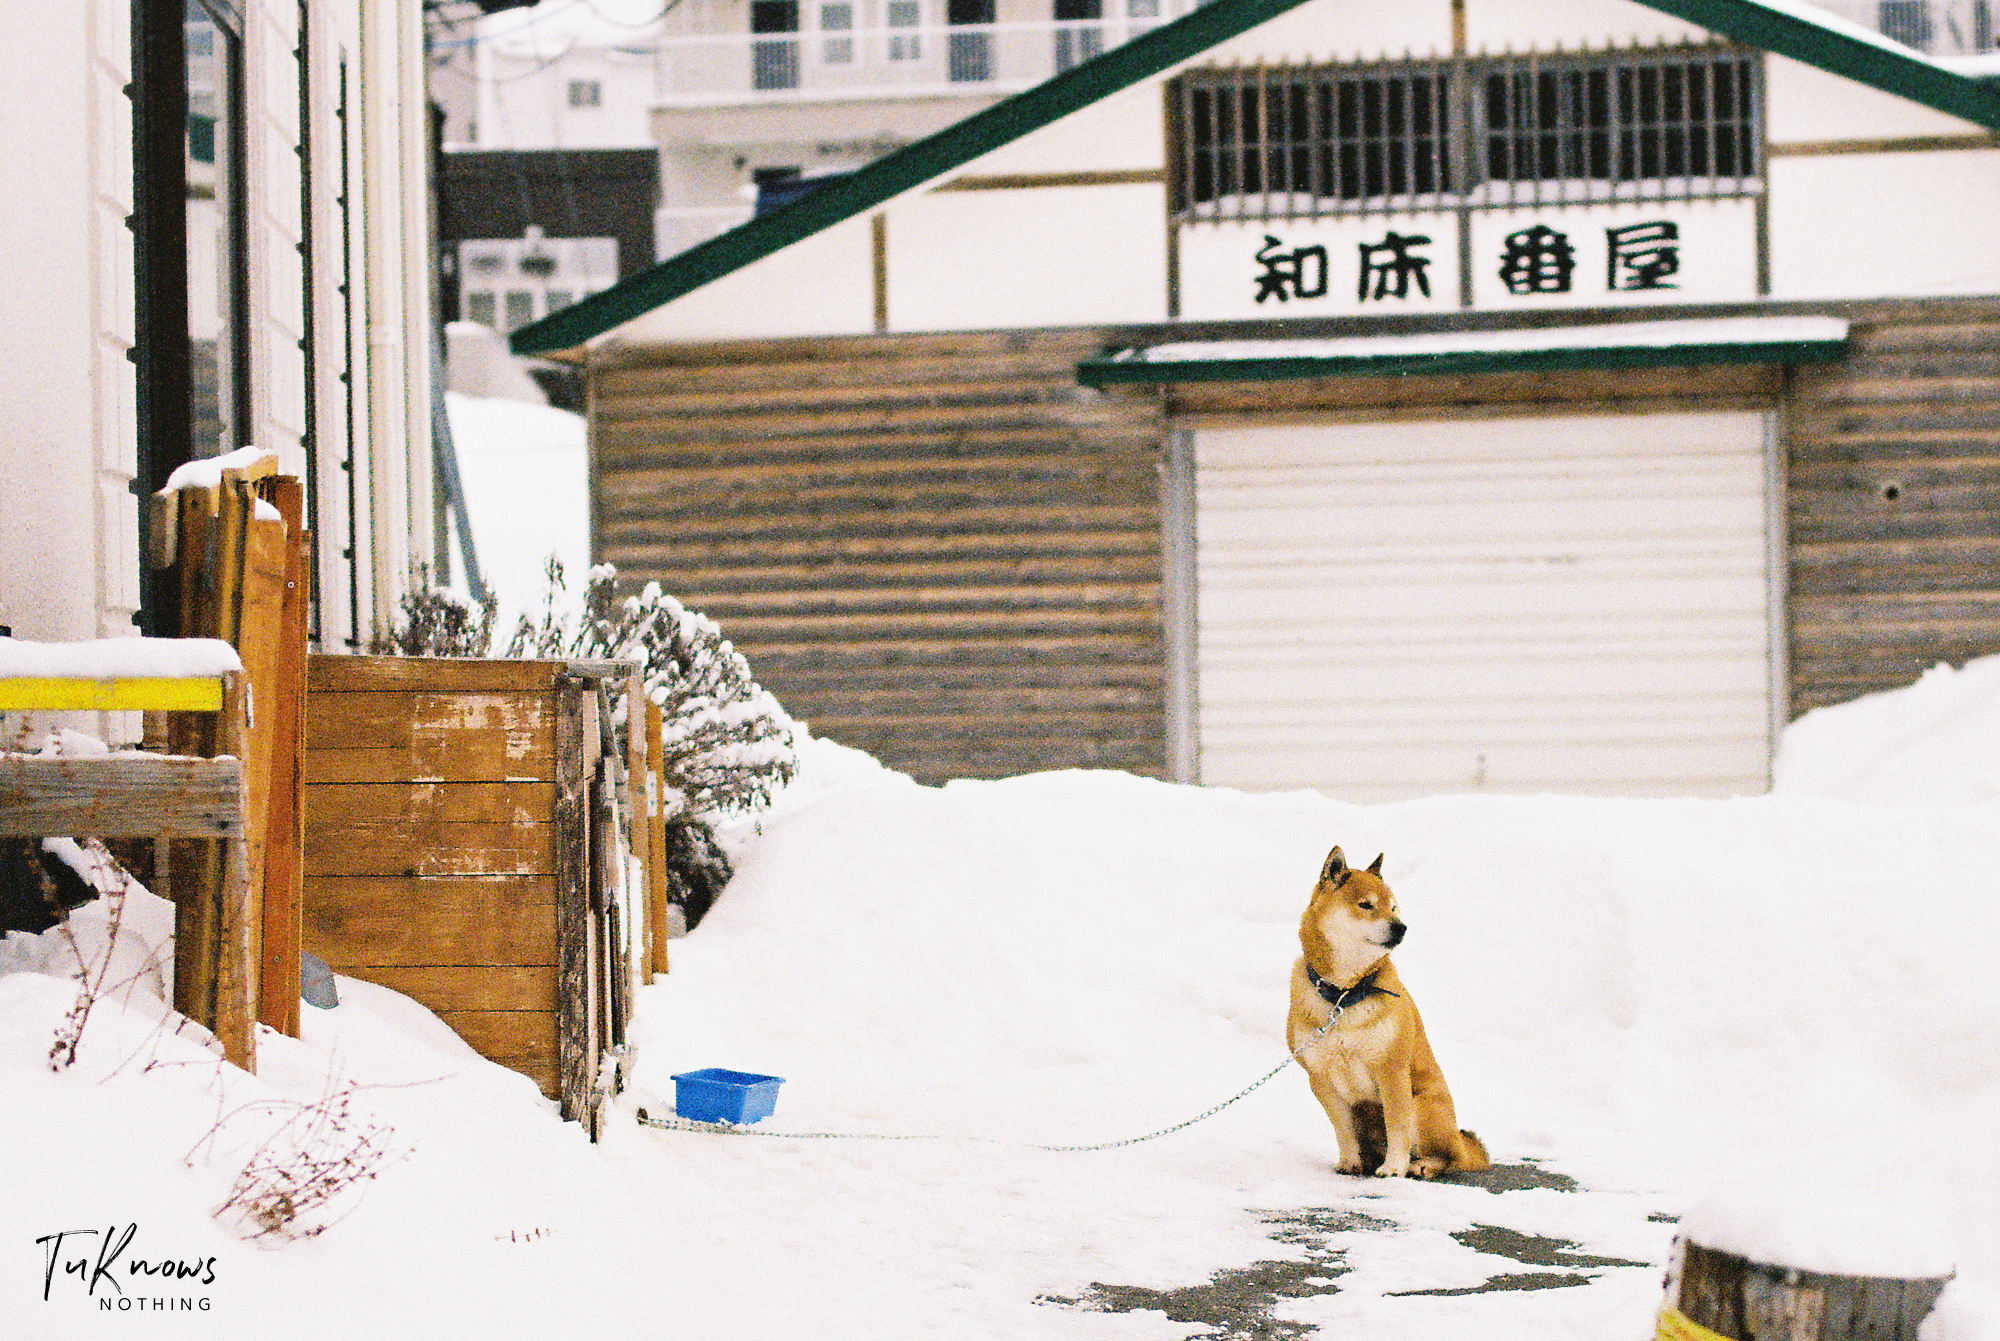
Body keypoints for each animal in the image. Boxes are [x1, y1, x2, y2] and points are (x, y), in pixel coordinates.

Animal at [1288, 852, 1496, 1176]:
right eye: (1366, 905)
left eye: (1394, 906)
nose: (1401, 927)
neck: (1345, 995)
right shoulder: (1320, 1080)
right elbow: (1342, 1130)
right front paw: (1349, 1162)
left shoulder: (1392, 1071)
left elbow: (1398, 1126)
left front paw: (1394, 1168)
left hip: (1424, 1108)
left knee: (1453, 1158)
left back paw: (1421, 1165)